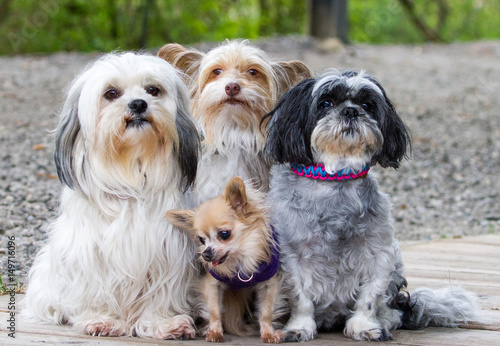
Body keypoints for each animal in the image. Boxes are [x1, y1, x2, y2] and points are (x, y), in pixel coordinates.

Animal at [21, 52, 201, 340]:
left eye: (153, 90)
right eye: (111, 93)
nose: (138, 104)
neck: (131, 176)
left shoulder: (167, 251)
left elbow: (161, 294)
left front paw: (162, 323)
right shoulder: (90, 251)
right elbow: (98, 289)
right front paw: (103, 320)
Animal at [264, 71, 478, 344]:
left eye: (367, 105)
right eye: (325, 103)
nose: (350, 111)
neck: (336, 179)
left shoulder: (379, 254)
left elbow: (370, 296)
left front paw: (364, 326)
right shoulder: (292, 256)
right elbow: (301, 298)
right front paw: (299, 327)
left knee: (393, 309)